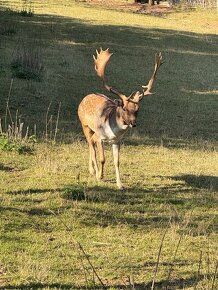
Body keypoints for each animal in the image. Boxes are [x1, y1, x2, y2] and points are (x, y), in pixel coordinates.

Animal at [78, 48, 162, 189]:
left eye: (137, 109)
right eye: (124, 109)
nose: (133, 123)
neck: (112, 131)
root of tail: (84, 98)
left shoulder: (117, 141)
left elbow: (117, 161)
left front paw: (120, 184)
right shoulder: (100, 137)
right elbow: (102, 158)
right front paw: (100, 176)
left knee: (91, 143)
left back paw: (92, 170)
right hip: (84, 124)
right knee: (91, 145)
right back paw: (94, 171)